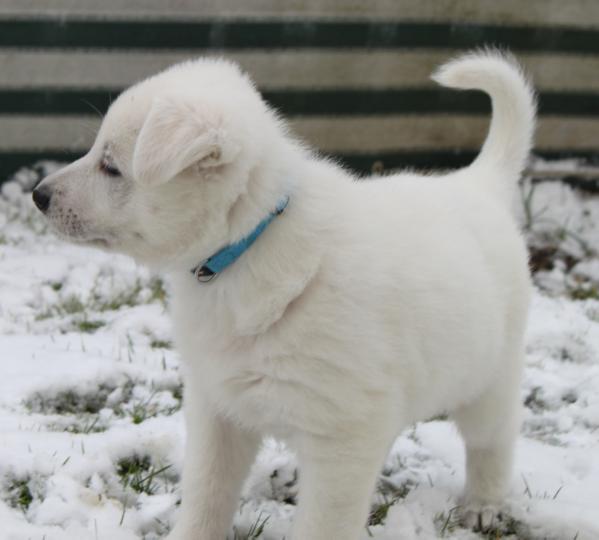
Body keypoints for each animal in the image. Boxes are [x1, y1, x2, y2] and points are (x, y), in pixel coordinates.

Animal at [34, 51, 536, 540]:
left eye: (111, 166)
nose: (38, 195)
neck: (247, 245)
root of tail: (478, 182)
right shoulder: (218, 408)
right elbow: (206, 494)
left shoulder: (343, 437)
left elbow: (322, 524)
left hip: (488, 380)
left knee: (493, 441)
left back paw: (483, 507)